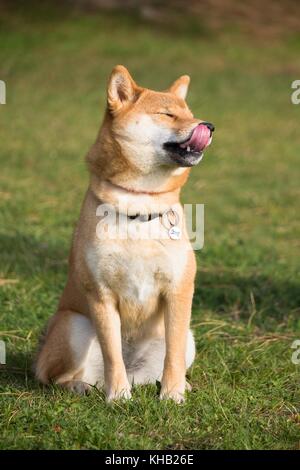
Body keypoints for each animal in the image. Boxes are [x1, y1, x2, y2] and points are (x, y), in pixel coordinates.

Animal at [34, 65, 213, 404]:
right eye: (168, 114)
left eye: (190, 113)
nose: (208, 126)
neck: (140, 205)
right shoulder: (101, 294)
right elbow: (112, 354)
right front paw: (117, 397)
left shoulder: (179, 290)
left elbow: (173, 356)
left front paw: (172, 395)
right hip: (73, 324)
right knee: (57, 377)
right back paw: (80, 386)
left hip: (189, 337)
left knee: (152, 372)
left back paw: (175, 385)